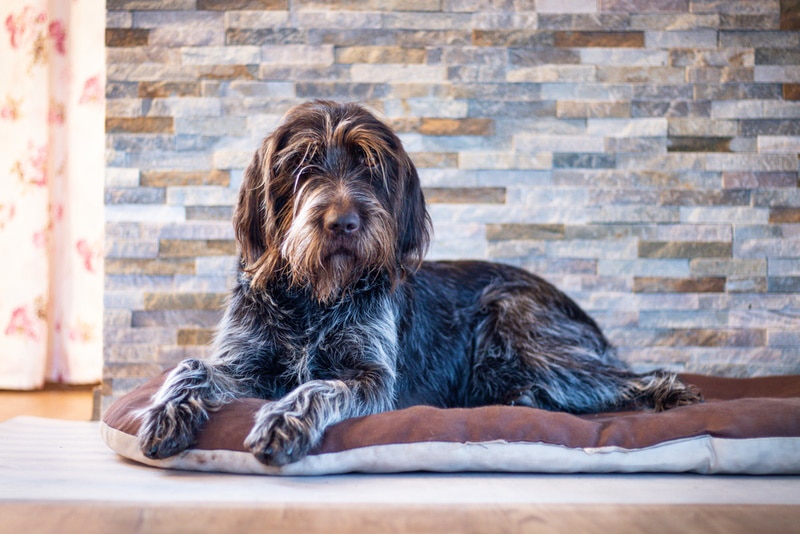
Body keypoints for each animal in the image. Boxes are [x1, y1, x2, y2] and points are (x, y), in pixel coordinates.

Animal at [138, 101, 700, 468]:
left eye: (371, 167)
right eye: (302, 165)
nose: (343, 223)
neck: (315, 297)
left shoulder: (372, 379)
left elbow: (320, 385)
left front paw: (282, 420)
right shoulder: (247, 365)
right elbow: (190, 365)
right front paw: (166, 411)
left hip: (517, 325)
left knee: (633, 378)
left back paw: (667, 395)